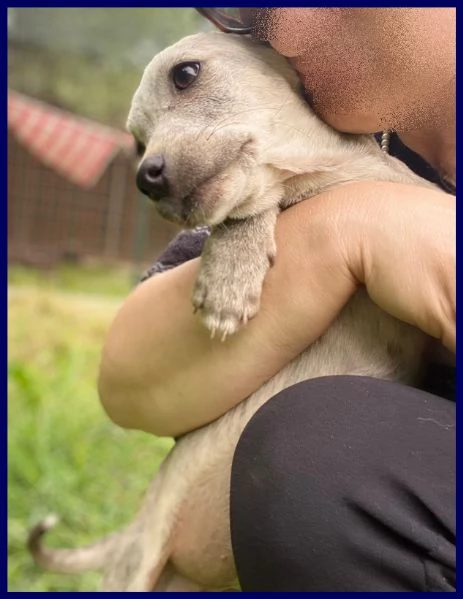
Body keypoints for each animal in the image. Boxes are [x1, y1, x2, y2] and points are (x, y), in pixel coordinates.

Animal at [27, 31, 440, 592]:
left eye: (185, 74)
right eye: (137, 141)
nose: (147, 178)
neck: (340, 179)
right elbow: (244, 208)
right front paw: (229, 275)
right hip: (137, 568)